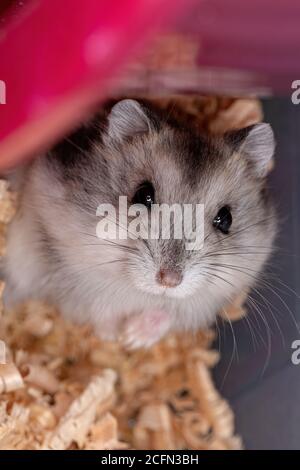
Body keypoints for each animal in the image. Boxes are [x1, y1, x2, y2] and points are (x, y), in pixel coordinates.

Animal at [1, 100, 276, 348]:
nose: (169, 281)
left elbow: (167, 314)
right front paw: (115, 338)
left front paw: (133, 338)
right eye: (143, 195)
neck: (142, 293)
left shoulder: (201, 301)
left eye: (225, 219)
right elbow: (100, 310)